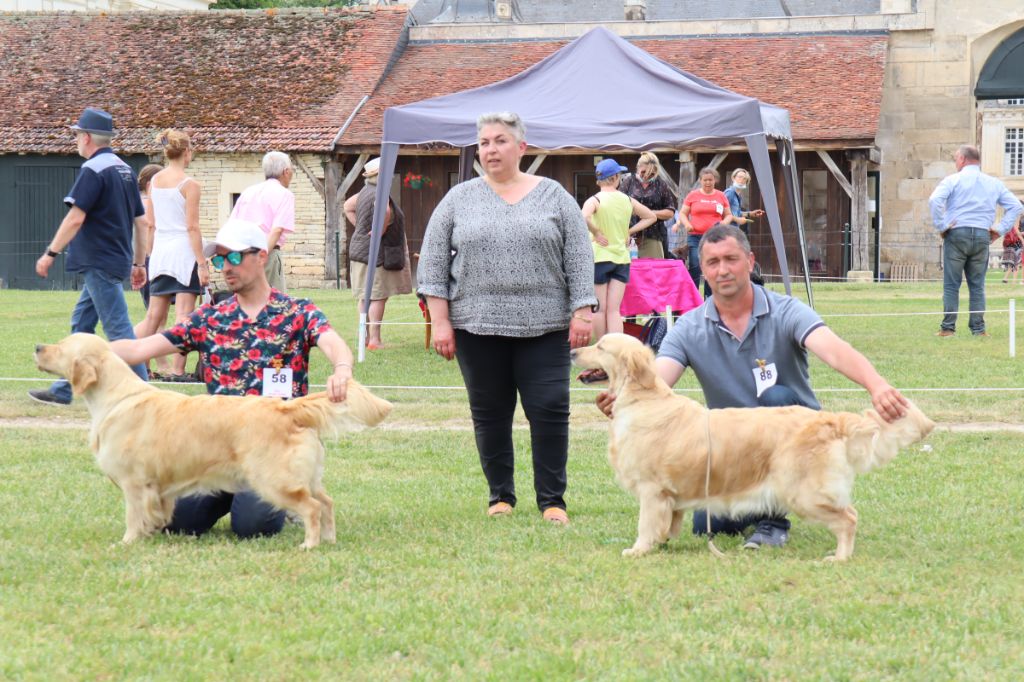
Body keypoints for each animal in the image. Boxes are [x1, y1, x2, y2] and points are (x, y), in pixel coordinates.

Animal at [33, 331, 391, 548]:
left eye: (62, 346)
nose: (37, 347)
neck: (115, 397)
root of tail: (286, 407)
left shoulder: (135, 482)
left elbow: (133, 516)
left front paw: (127, 542)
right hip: (308, 475)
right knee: (327, 502)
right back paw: (329, 539)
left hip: (274, 480)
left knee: (313, 507)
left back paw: (310, 543)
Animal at [573, 331, 933, 561]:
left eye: (601, 346)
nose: (574, 350)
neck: (643, 400)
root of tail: (830, 420)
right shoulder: (669, 496)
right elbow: (668, 524)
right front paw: (662, 544)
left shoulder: (651, 490)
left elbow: (646, 524)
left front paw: (638, 550)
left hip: (802, 491)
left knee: (849, 518)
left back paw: (839, 557)